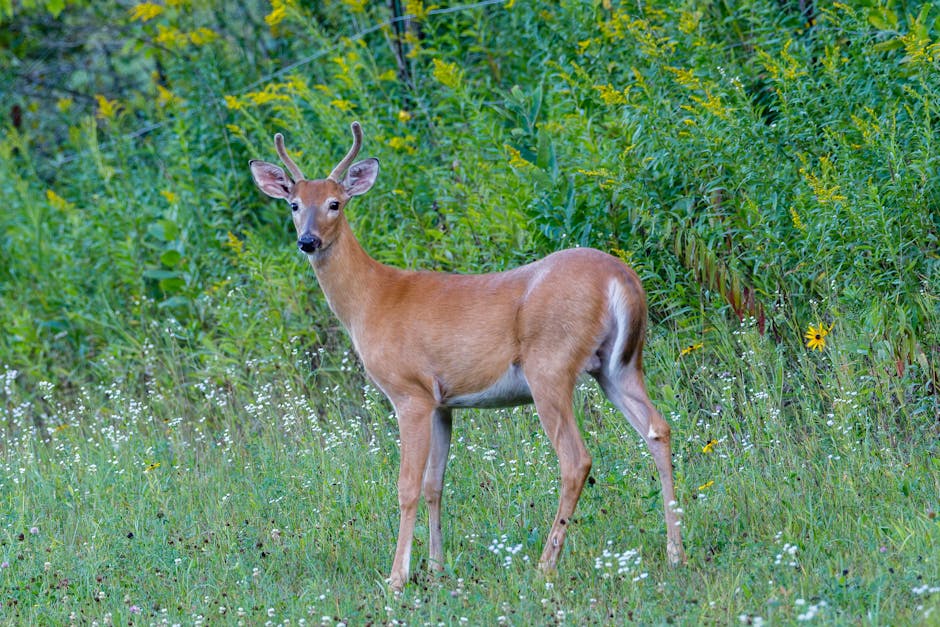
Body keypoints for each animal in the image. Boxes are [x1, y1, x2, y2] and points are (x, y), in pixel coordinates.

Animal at [249, 121, 687, 591]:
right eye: (294, 204)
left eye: (335, 203)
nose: (307, 241)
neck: (371, 300)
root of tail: (621, 278)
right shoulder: (443, 403)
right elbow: (434, 484)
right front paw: (437, 567)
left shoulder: (411, 393)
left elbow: (407, 486)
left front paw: (397, 577)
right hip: (618, 365)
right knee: (658, 429)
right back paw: (675, 552)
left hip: (550, 364)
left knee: (576, 458)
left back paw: (545, 564)